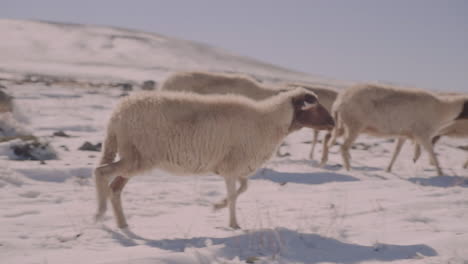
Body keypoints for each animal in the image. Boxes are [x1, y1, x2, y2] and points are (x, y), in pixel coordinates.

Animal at [94, 87, 332, 228]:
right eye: (315, 106)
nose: (333, 123)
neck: (267, 121)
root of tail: (117, 113)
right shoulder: (233, 166)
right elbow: (236, 195)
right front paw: (233, 224)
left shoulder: (232, 167)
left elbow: (243, 188)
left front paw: (218, 206)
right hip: (138, 157)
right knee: (101, 172)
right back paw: (100, 213)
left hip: (134, 158)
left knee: (115, 187)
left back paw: (122, 224)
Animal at [326, 83, 468, 176]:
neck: (443, 109)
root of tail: (339, 101)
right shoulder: (423, 134)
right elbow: (431, 152)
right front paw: (440, 172)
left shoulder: (404, 134)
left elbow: (396, 152)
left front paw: (388, 169)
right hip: (354, 125)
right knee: (343, 148)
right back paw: (348, 169)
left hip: (344, 126)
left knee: (330, 142)